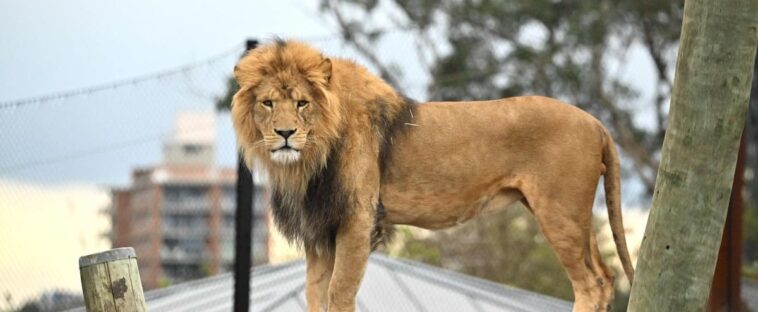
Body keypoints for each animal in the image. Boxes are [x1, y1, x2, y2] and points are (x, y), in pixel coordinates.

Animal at [232, 39, 636, 312]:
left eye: (302, 103)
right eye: (268, 103)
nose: (285, 133)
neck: (310, 160)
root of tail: (596, 123)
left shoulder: (358, 219)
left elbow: (339, 292)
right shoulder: (319, 229)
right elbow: (314, 295)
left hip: (559, 212)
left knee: (590, 284)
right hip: (574, 215)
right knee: (605, 277)